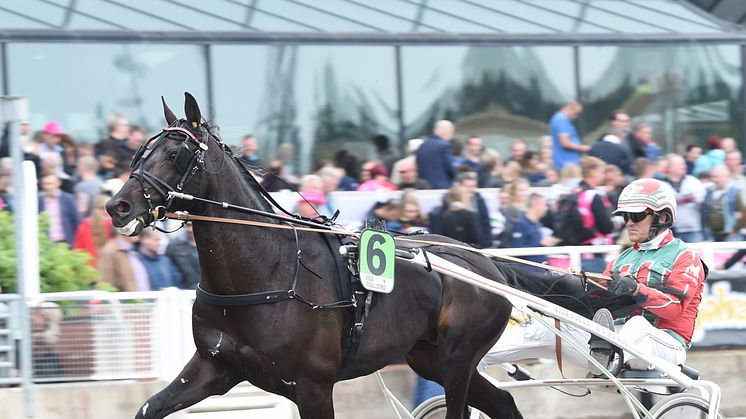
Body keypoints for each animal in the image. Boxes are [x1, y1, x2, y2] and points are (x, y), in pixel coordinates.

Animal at [104, 93, 616, 418]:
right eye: (140, 150)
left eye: (175, 152)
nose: (118, 206)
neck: (267, 270)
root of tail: (485, 263)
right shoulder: (215, 366)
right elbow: (149, 408)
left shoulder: (311, 386)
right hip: (427, 356)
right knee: (505, 404)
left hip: (458, 357)